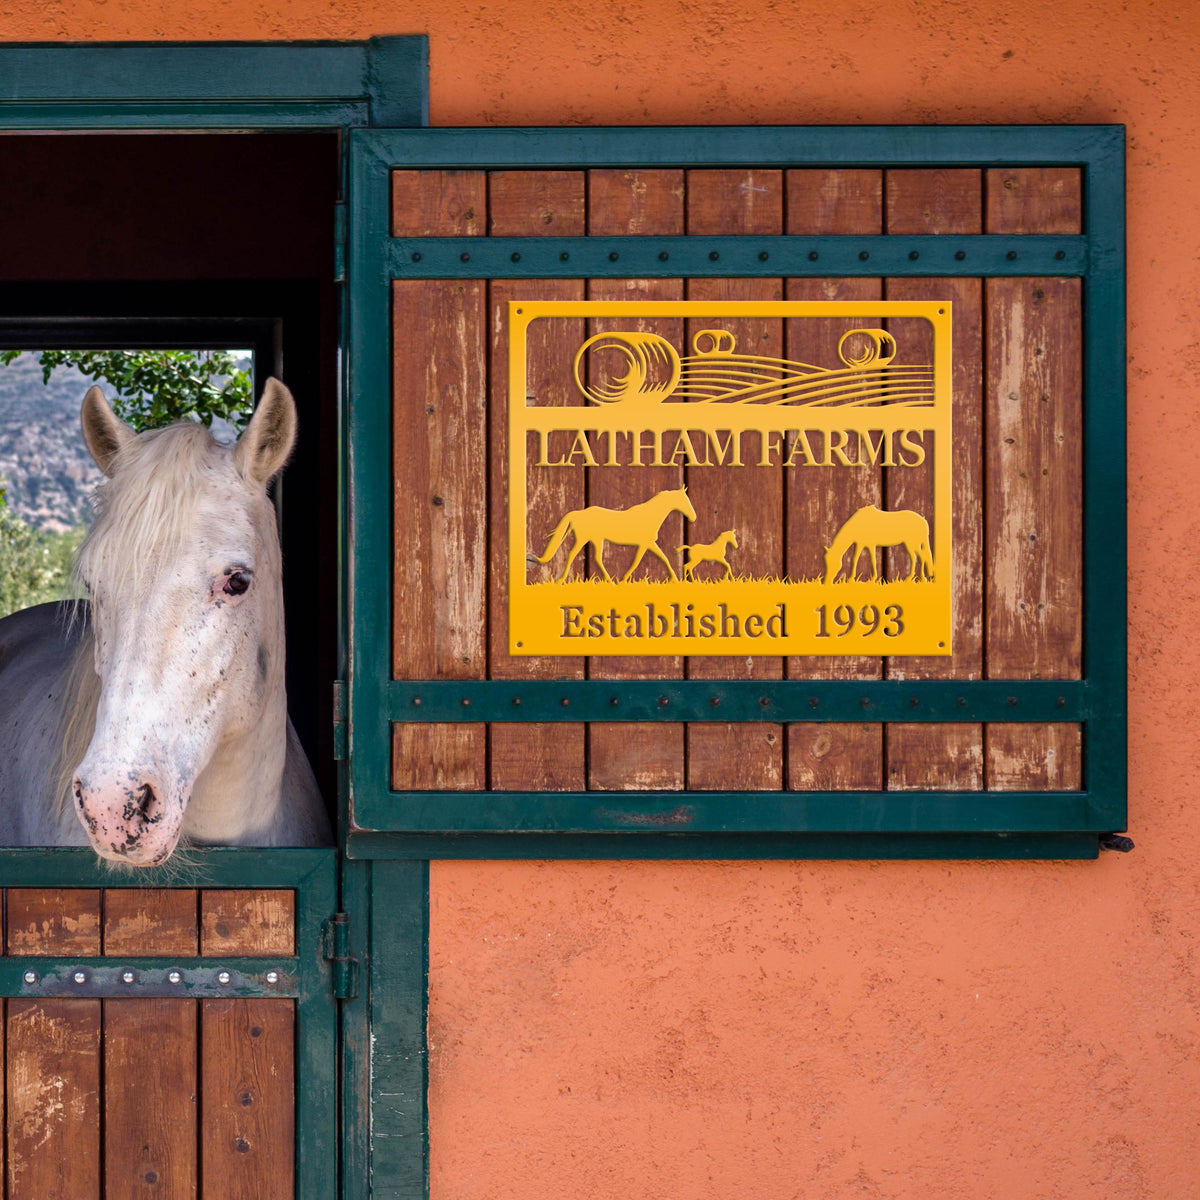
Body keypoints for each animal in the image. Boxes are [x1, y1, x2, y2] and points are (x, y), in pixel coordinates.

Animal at [534, 486, 697, 583]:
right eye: (684, 500)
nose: (693, 518)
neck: (649, 516)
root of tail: (578, 513)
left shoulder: (648, 544)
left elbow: (663, 558)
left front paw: (675, 579)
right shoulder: (646, 544)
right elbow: (639, 561)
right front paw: (624, 579)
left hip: (593, 540)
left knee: (591, 557)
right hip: (587, 539)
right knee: (576, 555)